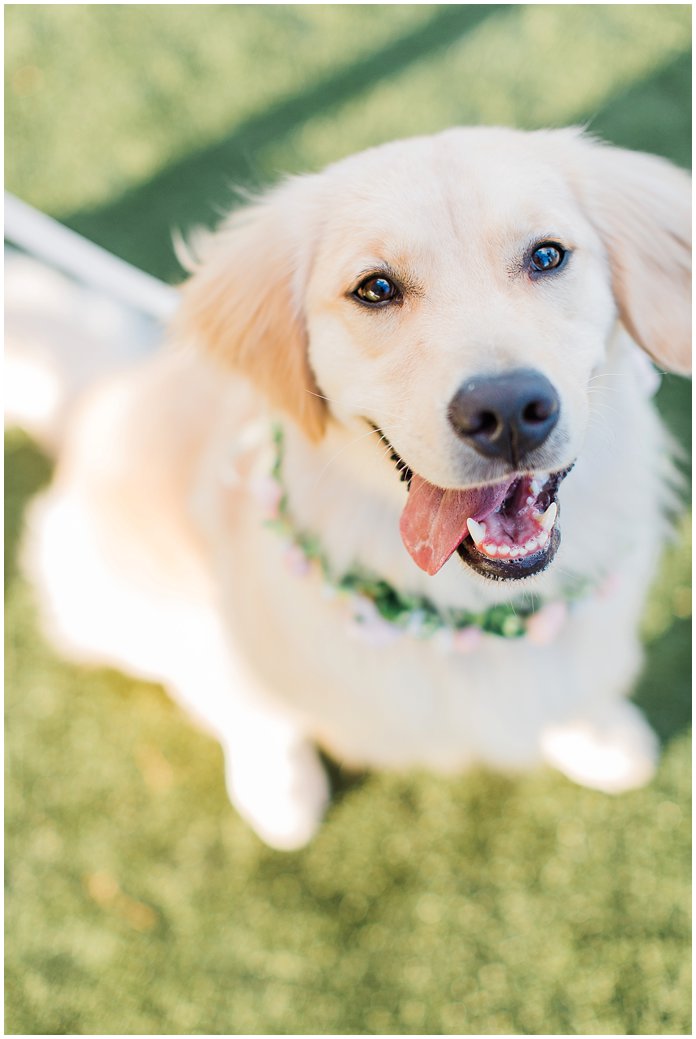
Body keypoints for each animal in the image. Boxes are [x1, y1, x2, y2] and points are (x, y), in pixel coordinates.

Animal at [27, 125, 693, 847]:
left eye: (546, 255)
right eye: (375, 289)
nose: (508, 411)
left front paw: (594, 730)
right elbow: (251, 696)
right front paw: (280, 780)